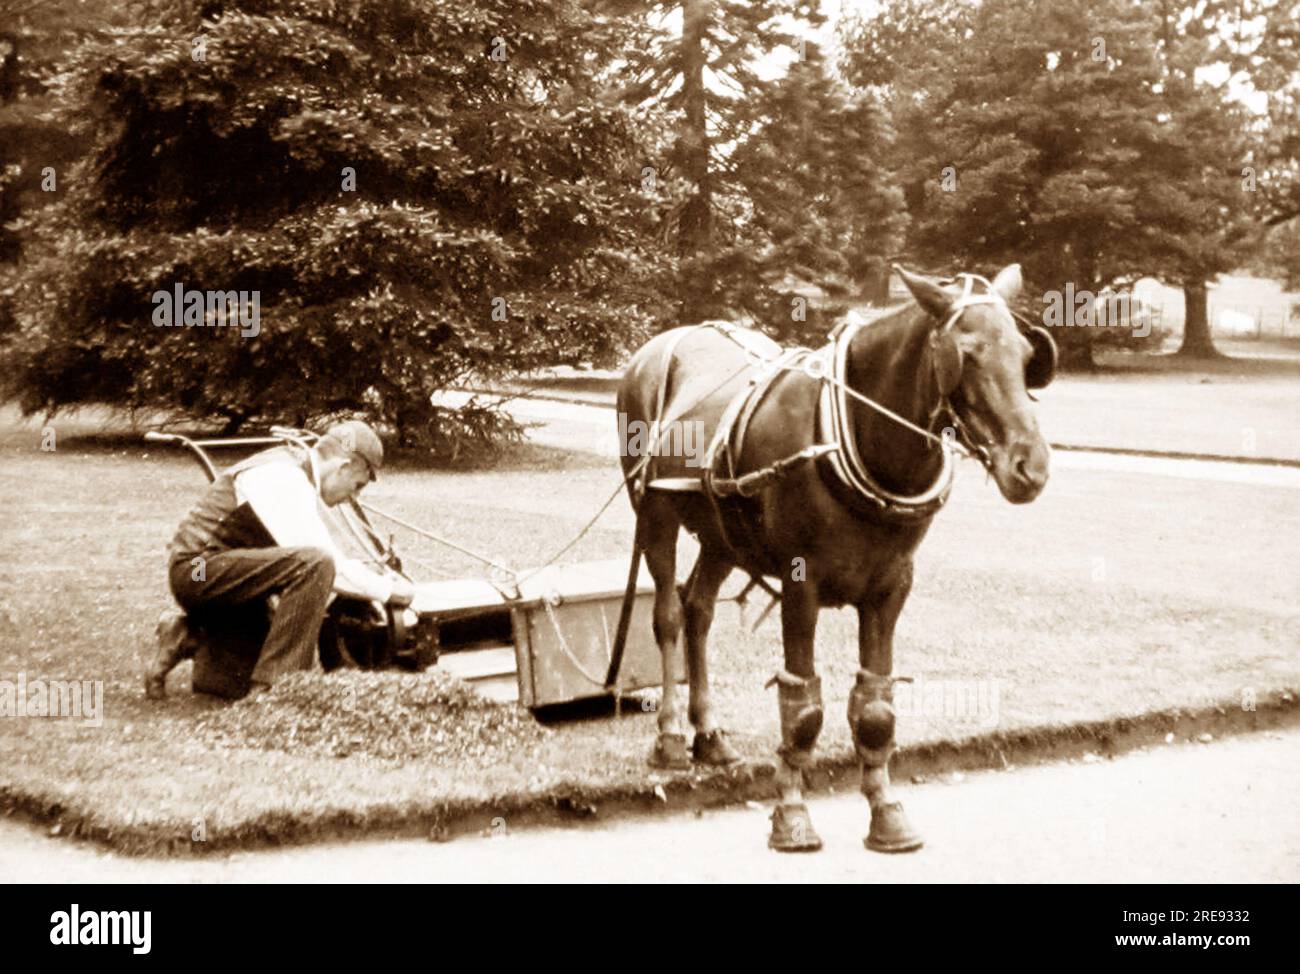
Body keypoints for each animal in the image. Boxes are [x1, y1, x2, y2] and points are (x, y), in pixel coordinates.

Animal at [614, 263, 1056, 852]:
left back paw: (708, 735)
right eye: (967, 354)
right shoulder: (801, 583)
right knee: (666, 614)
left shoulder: (891, 588)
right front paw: (791, 814)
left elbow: (875, 707)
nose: (1030, 465)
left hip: (722, 535)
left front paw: (886, 813)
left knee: (697, 609)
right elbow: (803, 708)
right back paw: (669, 738)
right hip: (654, 514)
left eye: (1027, 356)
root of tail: (658, 346)